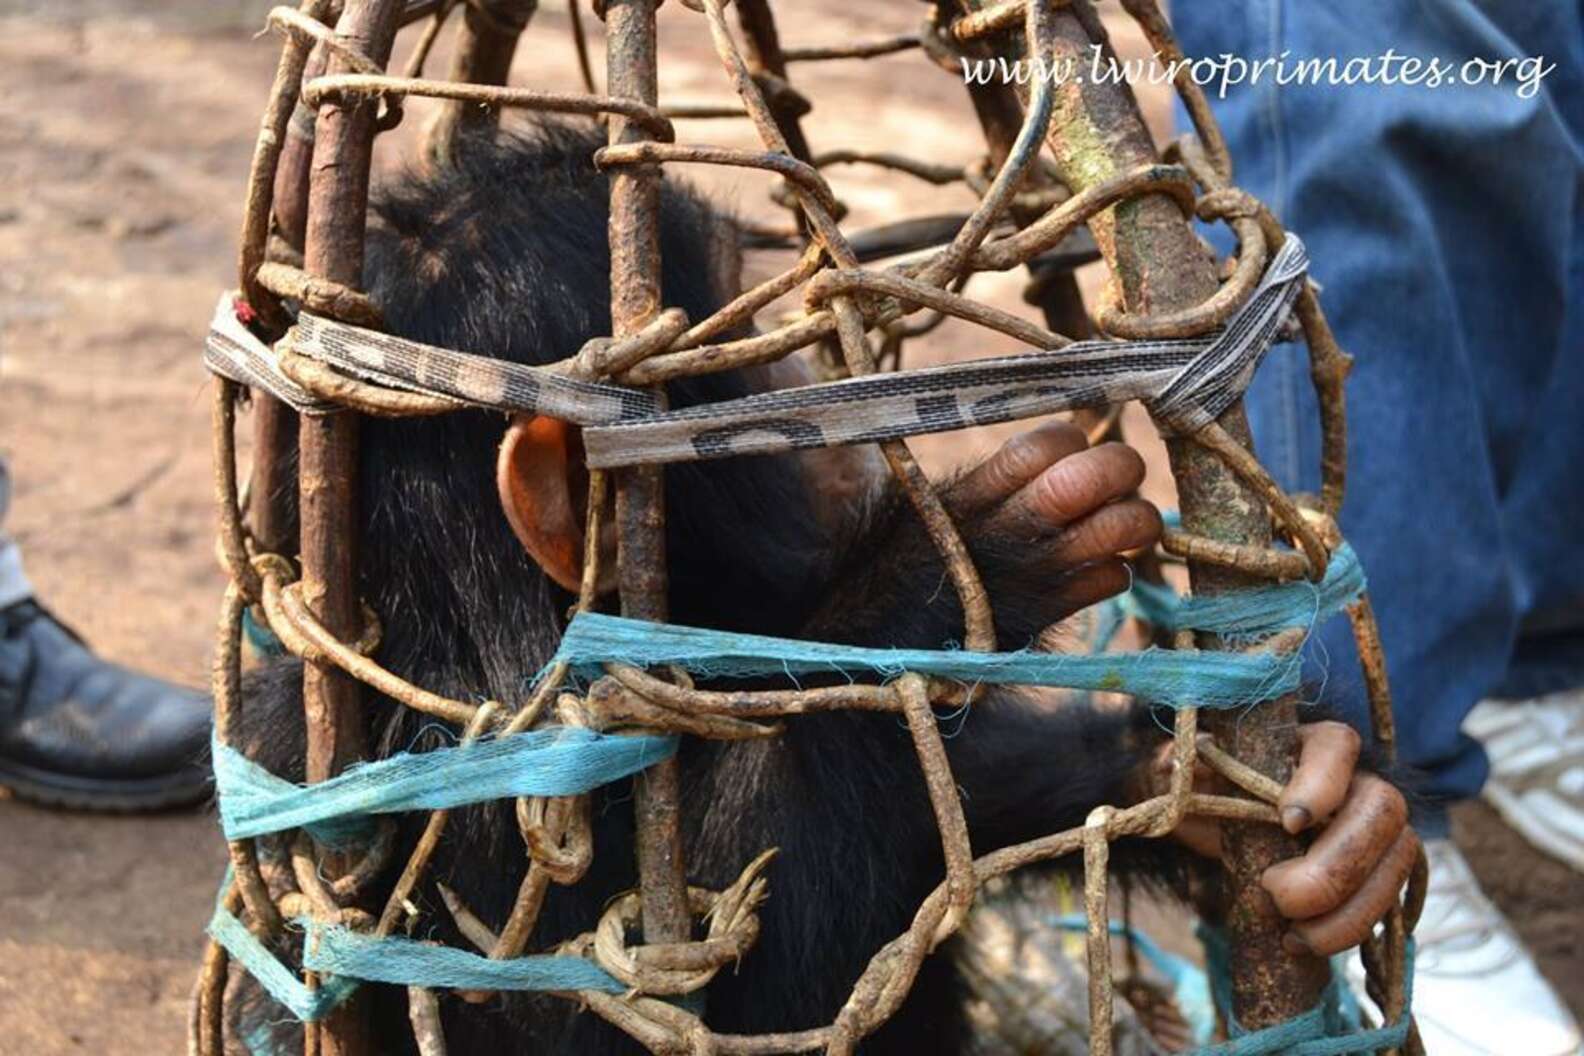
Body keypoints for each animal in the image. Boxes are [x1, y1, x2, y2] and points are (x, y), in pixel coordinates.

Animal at [229, 119, 1419, 1051]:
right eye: (752, 358)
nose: (808, 374)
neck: (485, 625)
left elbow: (950, 816)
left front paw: (1299, 811)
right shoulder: (472, 785)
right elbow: (687, 1002)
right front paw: (960, 561)